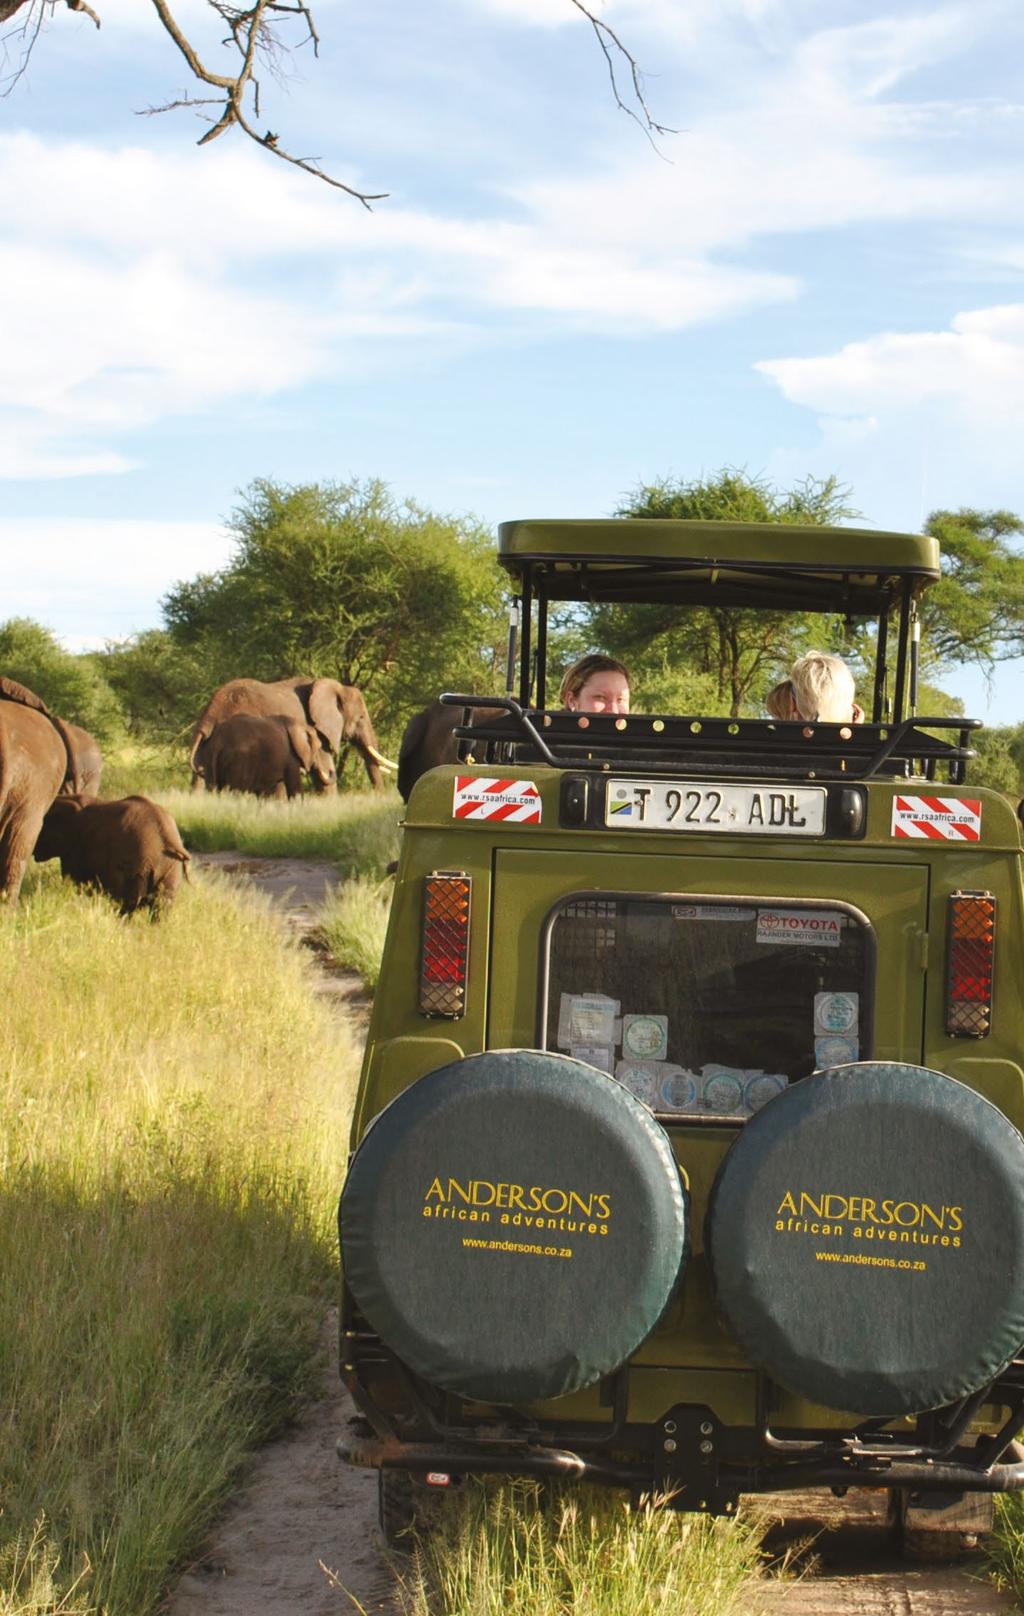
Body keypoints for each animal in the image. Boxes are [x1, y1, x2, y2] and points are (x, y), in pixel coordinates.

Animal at [35, 791, 191, 917]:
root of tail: (168, 839)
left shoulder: (76, 849)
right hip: (171, 868)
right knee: (161, 908)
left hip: (137, 867)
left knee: (126, 904)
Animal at [201, 717, 337, 798]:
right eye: (319, 747)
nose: (330, 771)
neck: (300, 724)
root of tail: (219, 741)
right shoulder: (291, 757)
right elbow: (294, 786)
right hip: (239, 760)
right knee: (237, 792)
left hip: (209, 758)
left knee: (212, 788)